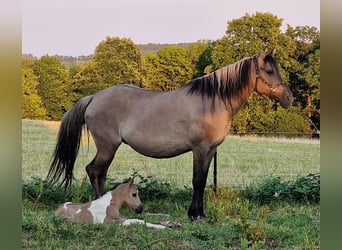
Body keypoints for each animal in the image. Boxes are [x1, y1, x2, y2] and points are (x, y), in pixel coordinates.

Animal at [47, 49, 294, 221]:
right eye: (269, 71)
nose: (289, 98)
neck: (212, 102)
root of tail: (93, 98)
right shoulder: (200, 149)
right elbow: (197, 181)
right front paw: (194, 214)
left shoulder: (210, 150)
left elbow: (203, 180)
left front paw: (200, 213)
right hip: (108, 147)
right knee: (94, 170)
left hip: (108, 148)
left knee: (100, 173)